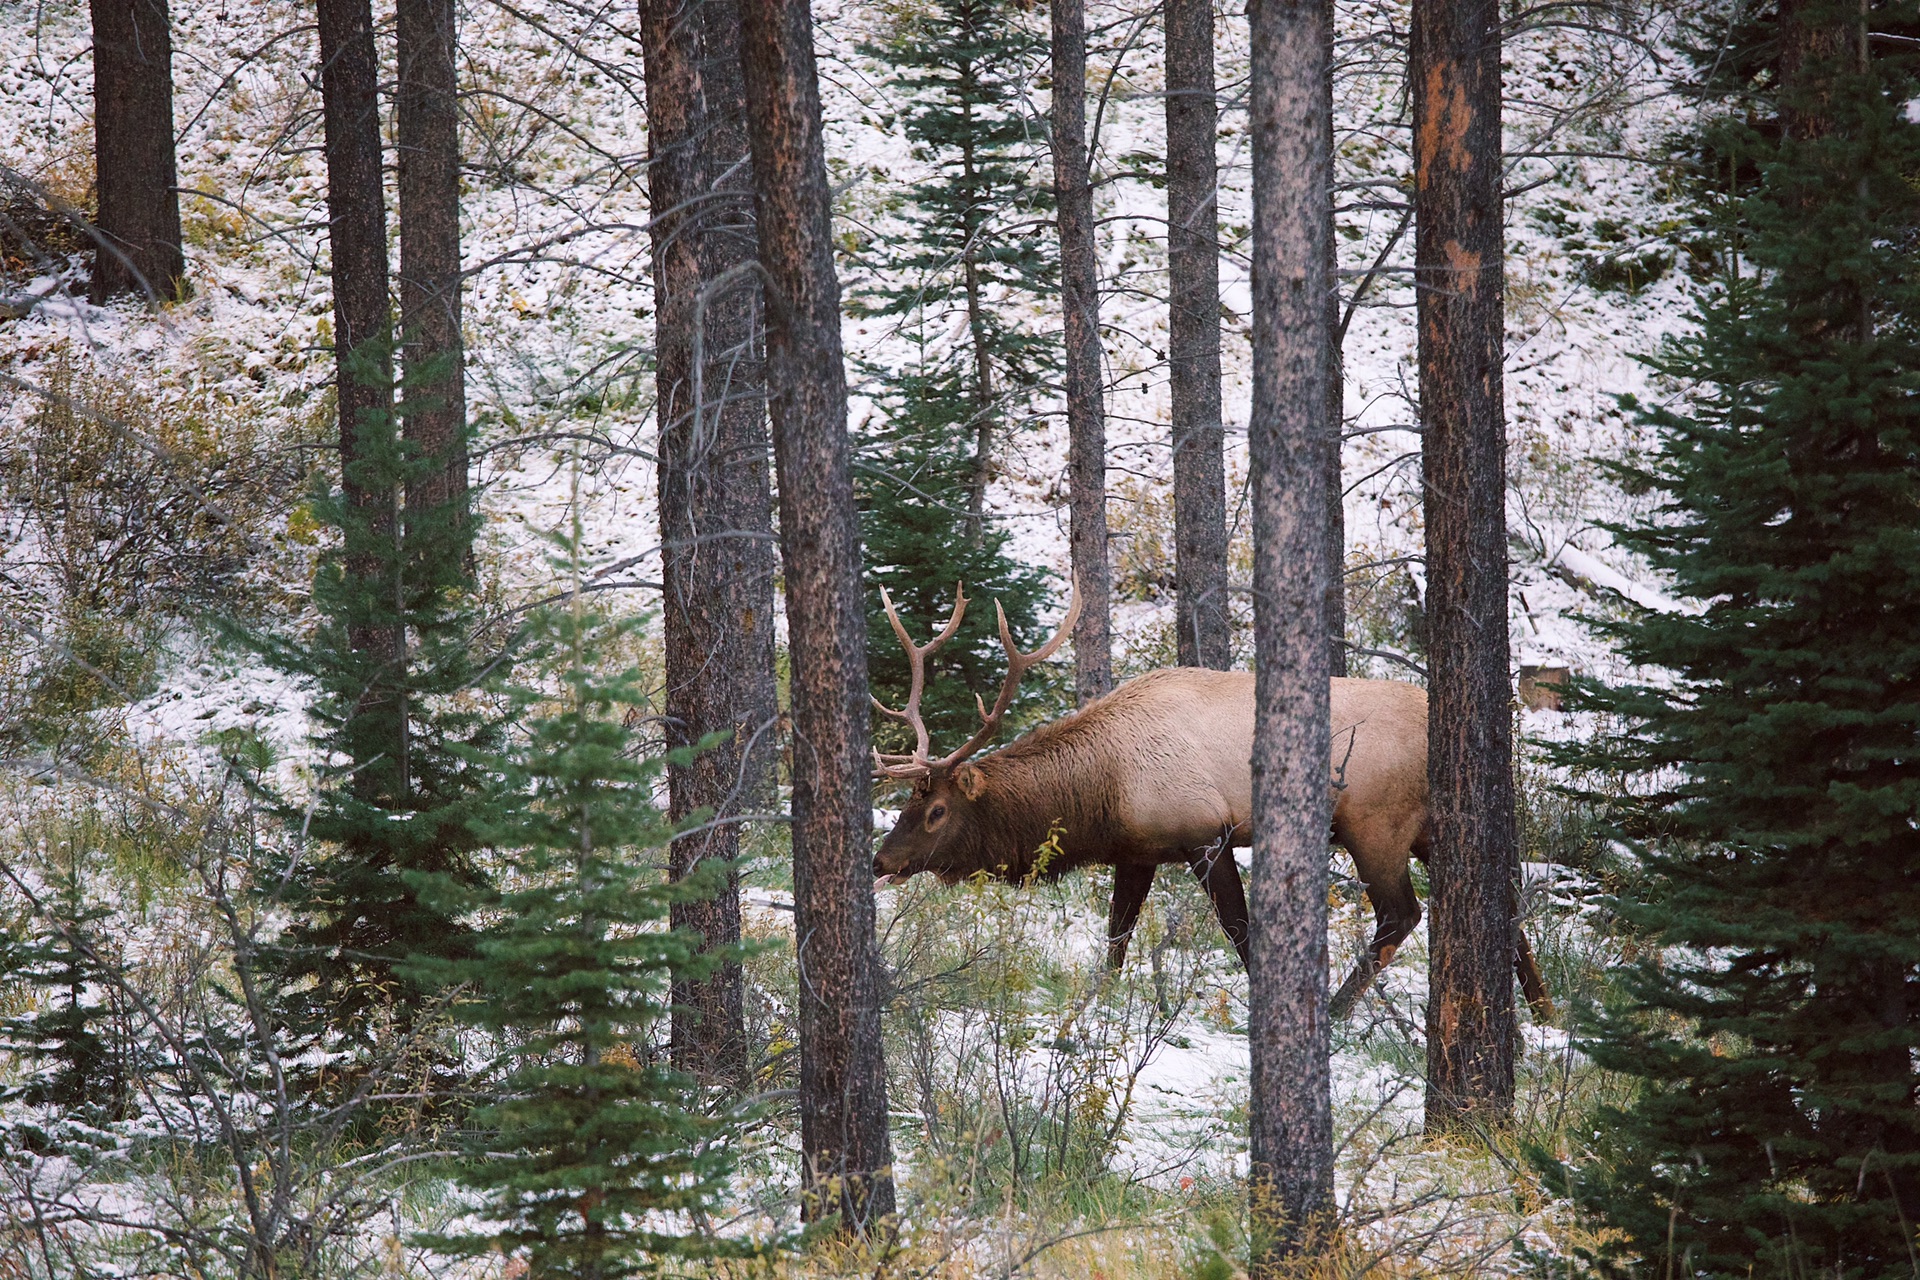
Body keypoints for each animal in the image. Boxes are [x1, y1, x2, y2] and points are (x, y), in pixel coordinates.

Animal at [879, 583, 1551, 1020]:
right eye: (907, 804)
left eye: (936, 811)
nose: (883, 859)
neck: (1105, 790)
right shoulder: (1138, 850)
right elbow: (1117, 937)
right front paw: (1098, 1003)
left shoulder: (1208, 831)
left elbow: (1240, 930)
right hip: (1433, 829)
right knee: (1507, 904)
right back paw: (1544, 1013)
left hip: (1375, 825)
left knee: (1401, 915)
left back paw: (1336, 1009)